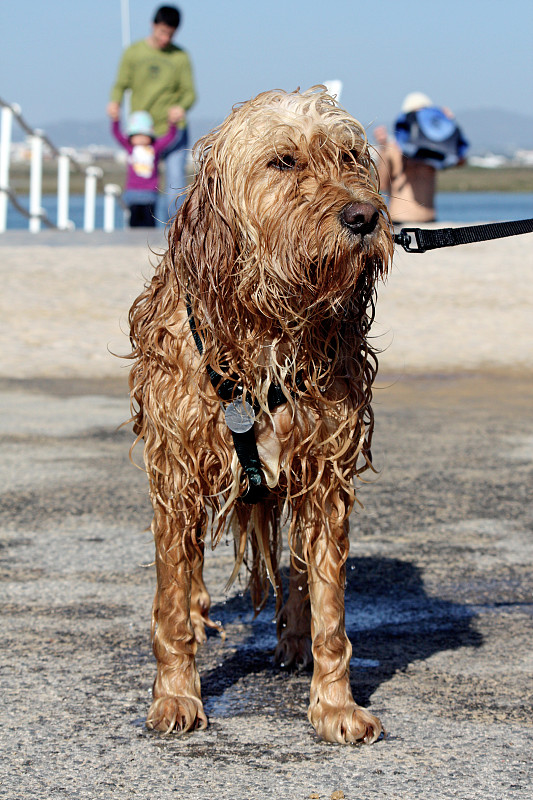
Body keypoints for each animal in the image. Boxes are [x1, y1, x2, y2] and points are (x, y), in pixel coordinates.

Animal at [128, 87, 392, 744]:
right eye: (283, 162)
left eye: (351, 157)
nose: (364, 217)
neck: (268, 329)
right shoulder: (177, 470)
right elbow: (171, 599)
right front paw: (176, 695)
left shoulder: (325, 474)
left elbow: (329, 609)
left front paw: (335, 705)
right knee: (191, 573)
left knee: (295, 572)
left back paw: (293, 640)